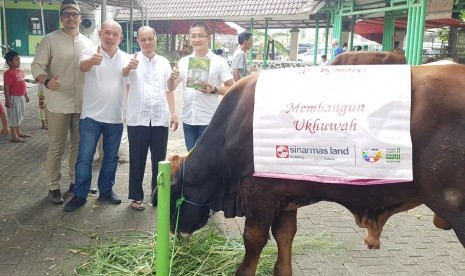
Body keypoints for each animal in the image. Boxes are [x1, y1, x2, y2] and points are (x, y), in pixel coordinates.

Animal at [169, 63, 464, 276]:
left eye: (168, 195)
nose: (174, 234)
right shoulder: (285, 198)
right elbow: (285, 240)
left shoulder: (259, 192)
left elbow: (253, 242)